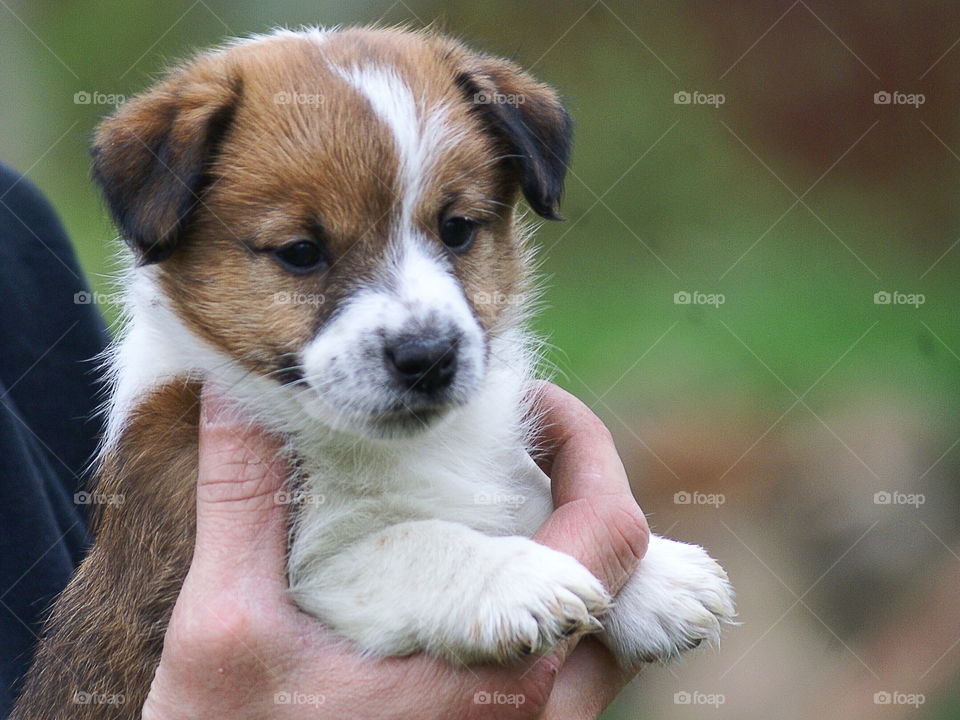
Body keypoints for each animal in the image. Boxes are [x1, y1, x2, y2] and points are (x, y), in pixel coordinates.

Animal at [9, 25, 736, 716]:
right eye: (301, 252)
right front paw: (515, 575)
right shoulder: (303, 567)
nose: (429, 356)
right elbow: (412, 541)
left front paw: (656, 575)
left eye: (457, 229)